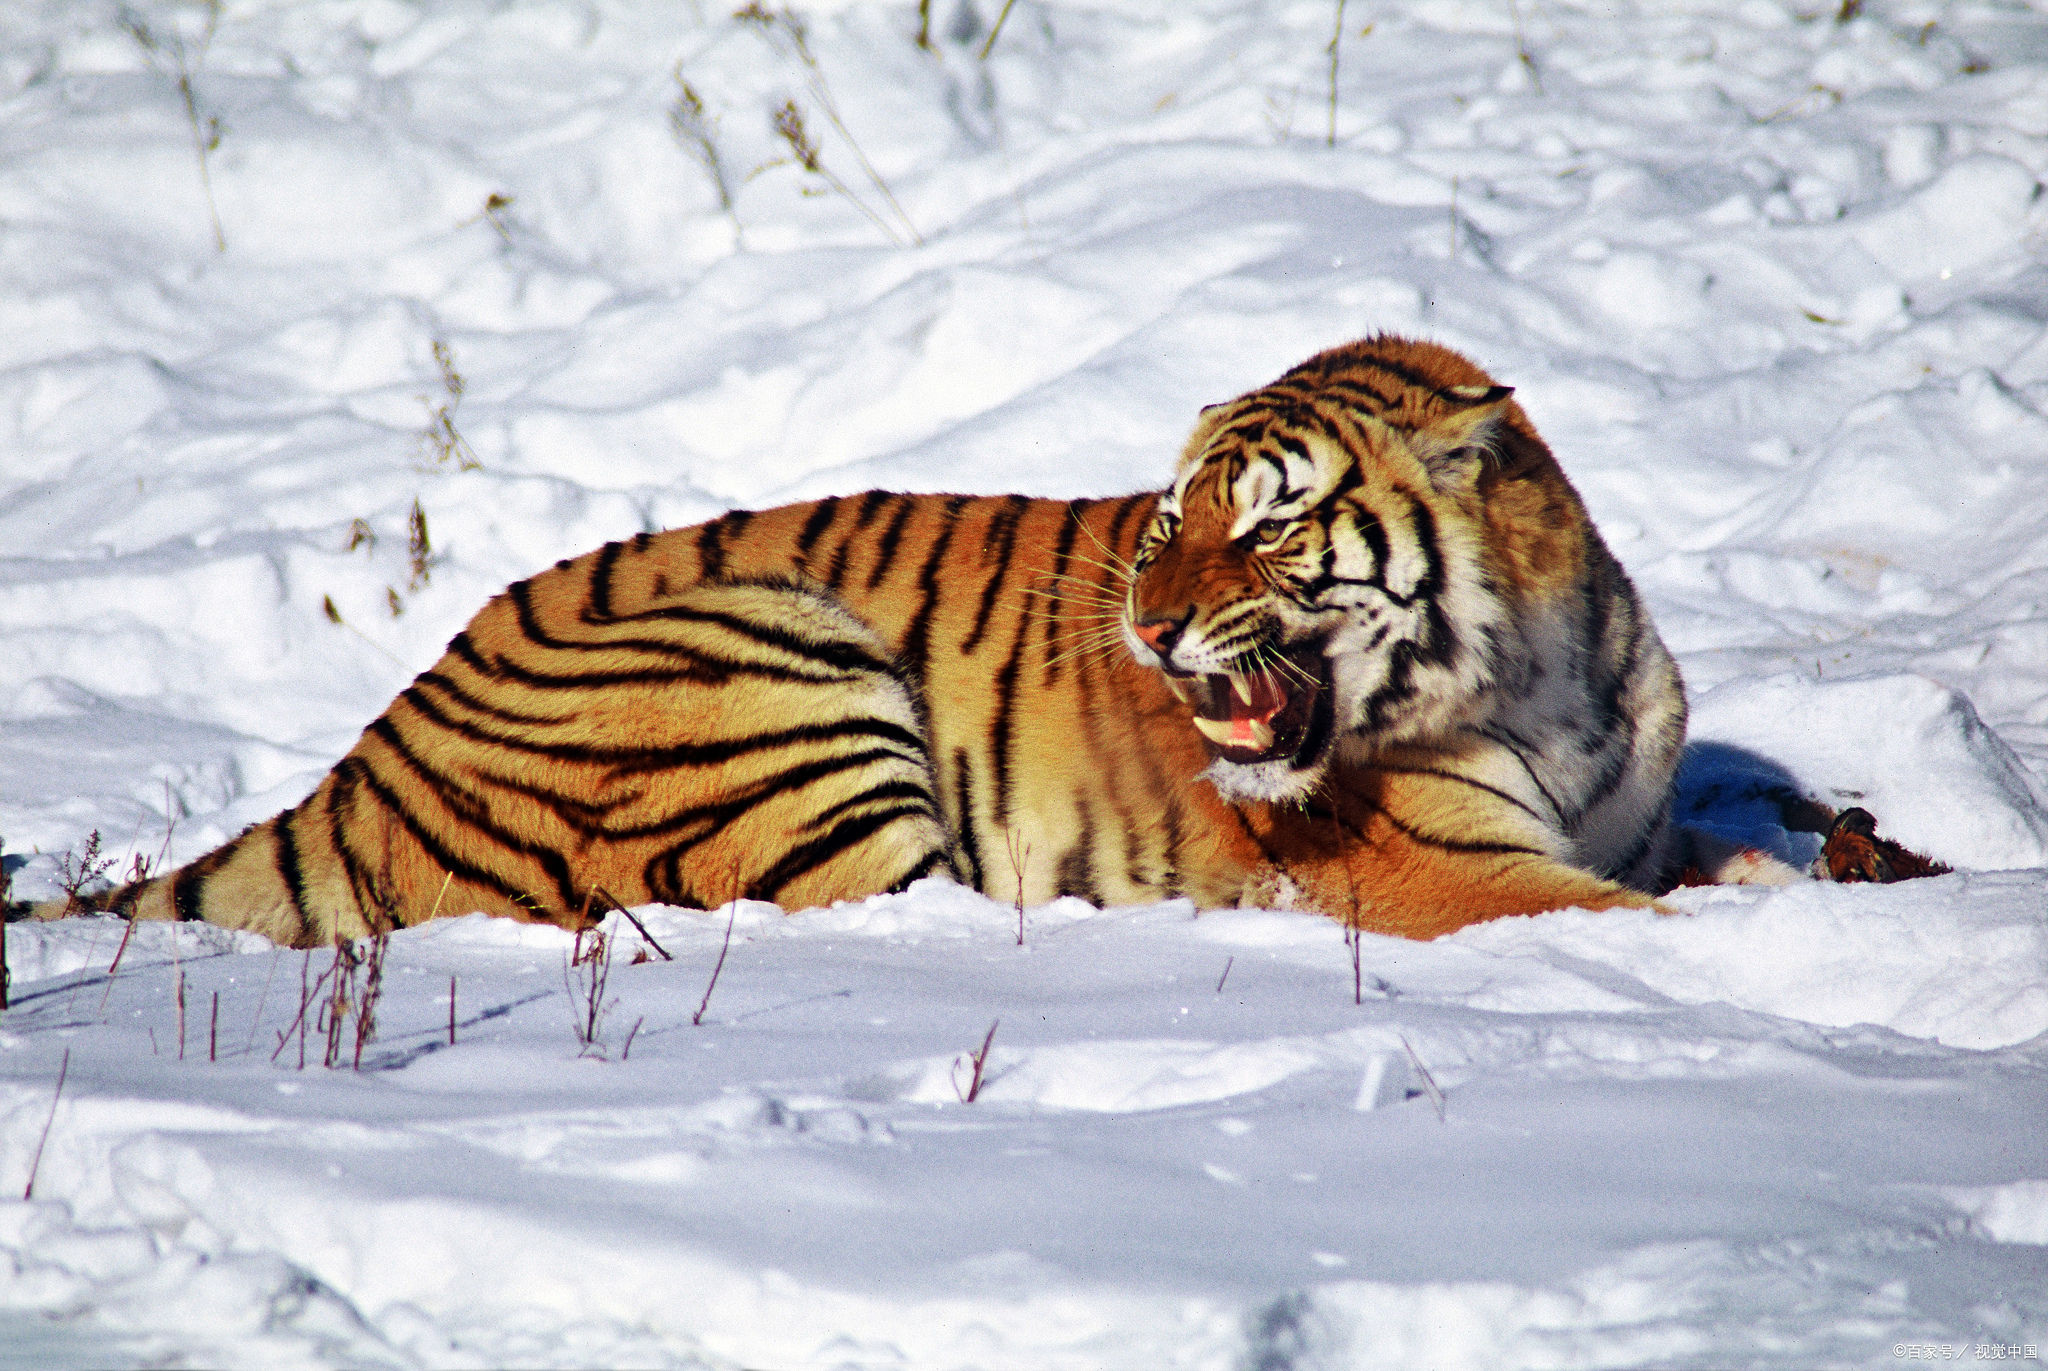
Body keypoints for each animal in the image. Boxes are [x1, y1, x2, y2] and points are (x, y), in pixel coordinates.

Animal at [51, 336, 1695, 946]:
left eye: (1270, 527)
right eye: (1170, 525)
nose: (1148, 624)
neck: (1548, 673)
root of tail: (361, 759)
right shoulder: (1448, 869)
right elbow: (1636, 918)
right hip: (779, 658)